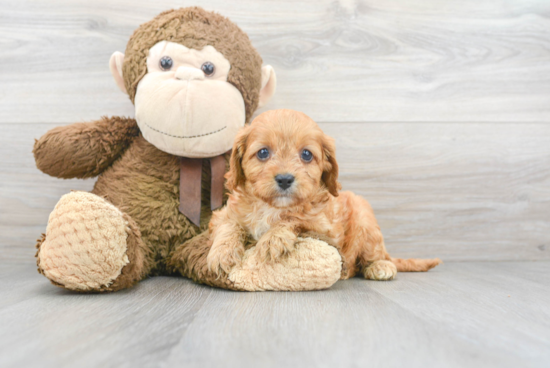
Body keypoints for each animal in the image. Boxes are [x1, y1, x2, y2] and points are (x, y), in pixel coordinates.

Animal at [207, 108, 444, 278]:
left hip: (365, 220)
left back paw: (380, 267)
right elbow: (229, 225)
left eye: (306, 154)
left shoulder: (325, 230)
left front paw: (274, 238)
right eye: (263, 152)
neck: (272, 207)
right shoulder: (222, 215)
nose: (284, 179)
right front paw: (221, 253)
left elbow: (293, 219)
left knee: (376, 255)